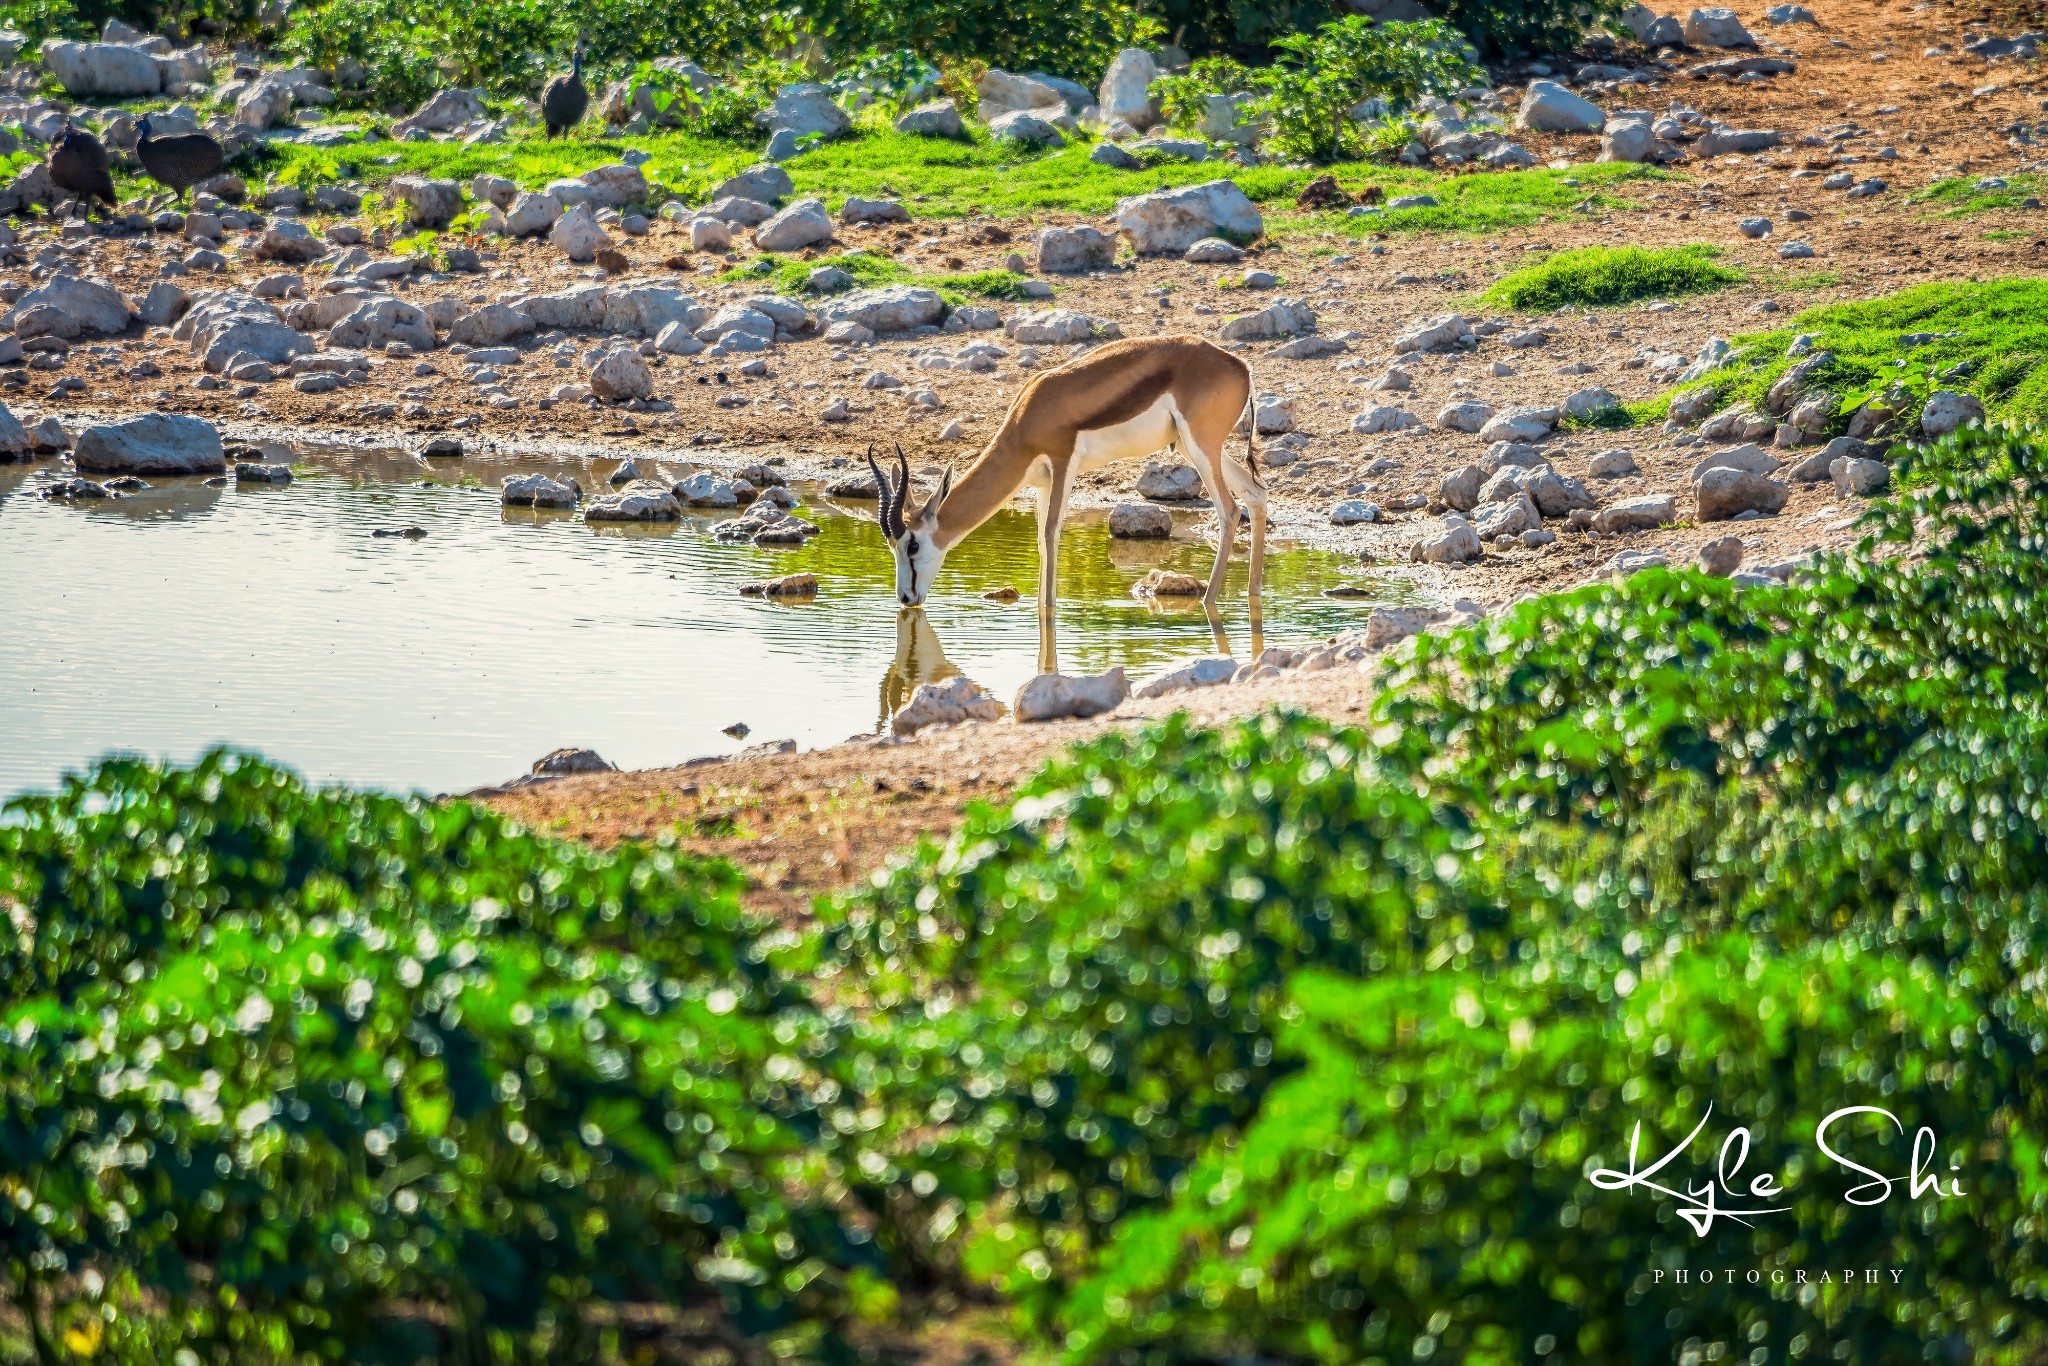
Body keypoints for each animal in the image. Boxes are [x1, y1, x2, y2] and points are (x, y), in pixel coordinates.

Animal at [864, 333, 1261, 659]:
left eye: (913, 545)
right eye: (891, 546)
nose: (905, 598)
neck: (1028, 416)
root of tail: (1240, 366)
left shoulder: (1062, 462)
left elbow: (1052, 532)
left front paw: (1048, 612)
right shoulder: (1041, 483)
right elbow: (1041, 541)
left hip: (1200, 445)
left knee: (1229, 510)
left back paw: (1210, 601)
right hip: (1197, 447)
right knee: (1256, 493)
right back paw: (1253, 595)